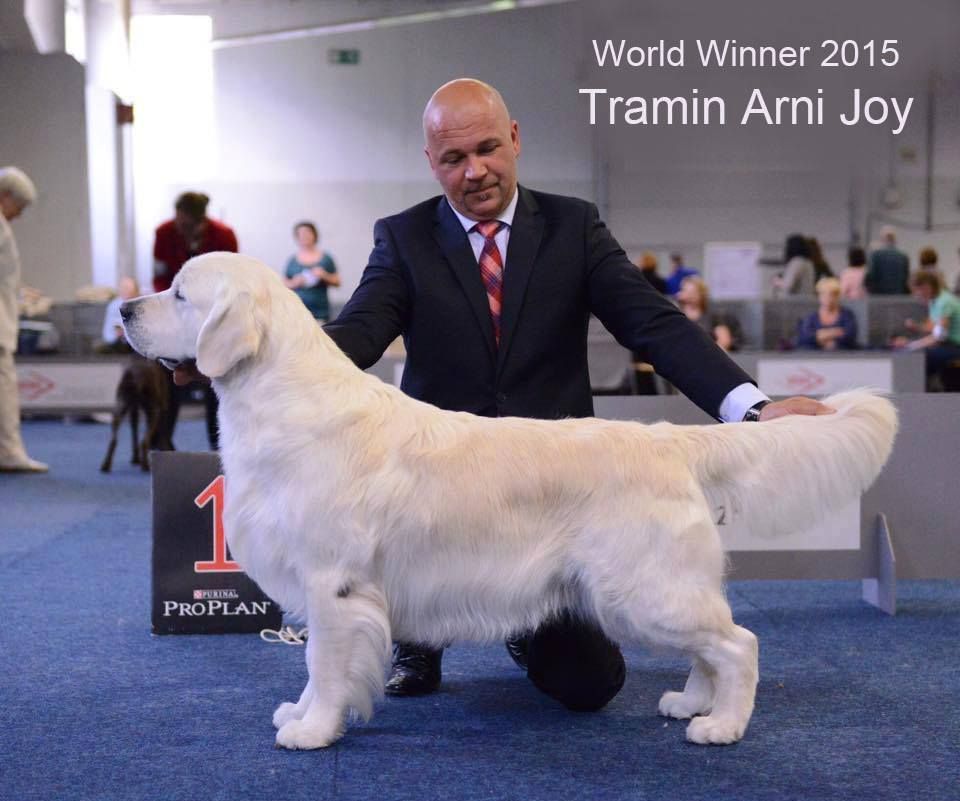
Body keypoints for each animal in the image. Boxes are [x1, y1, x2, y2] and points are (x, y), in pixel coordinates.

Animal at [121, 252, 897, 750]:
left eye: (181, 293)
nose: (124, 307)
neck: (282, 397)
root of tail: (672, 440)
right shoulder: (324, 589)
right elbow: (318, 665)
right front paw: (303, 716)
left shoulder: (332, 582)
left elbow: (326, 664)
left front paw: (315, 732)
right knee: (714, 646)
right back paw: (690, 703)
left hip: (644, 589)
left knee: (740, 642)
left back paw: (724, 726)